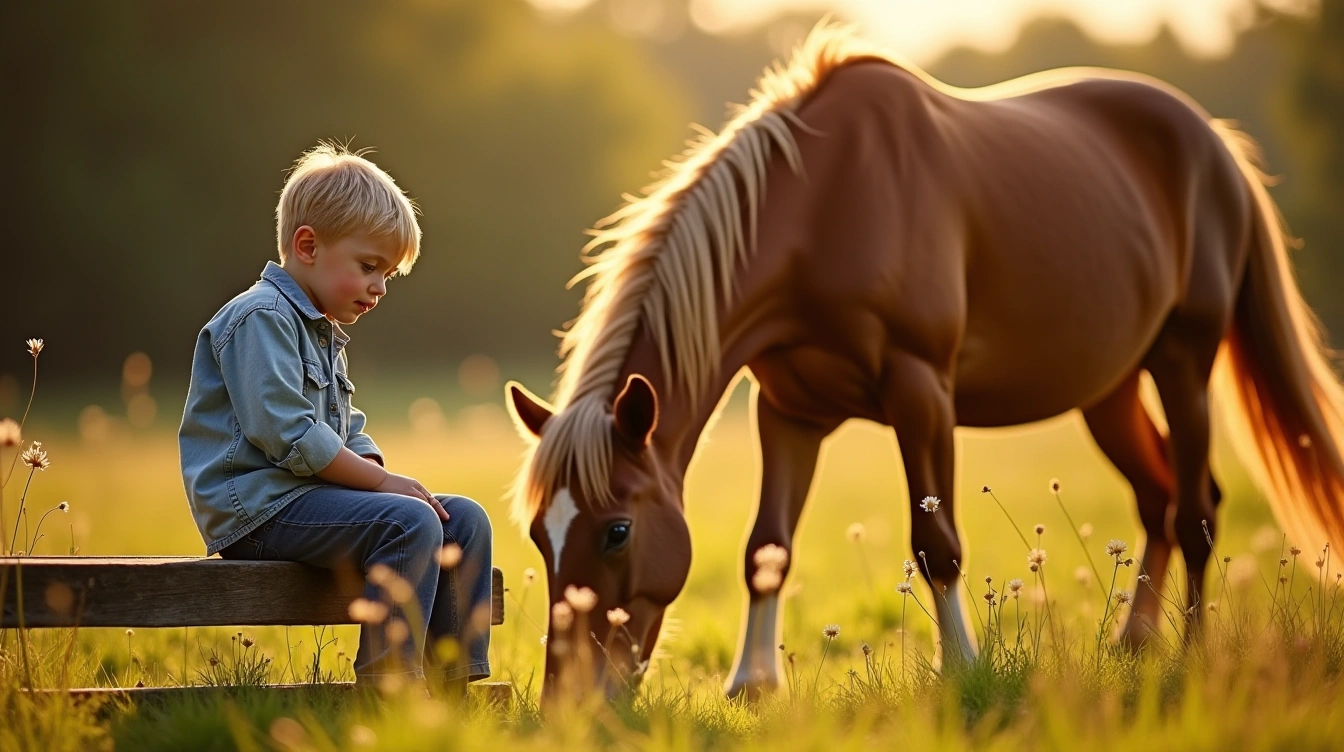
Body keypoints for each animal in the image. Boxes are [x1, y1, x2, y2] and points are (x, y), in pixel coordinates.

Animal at [504, 23, 1344, 700]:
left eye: (616, 531)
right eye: (541, 534)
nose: (570, 702)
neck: (825, 204)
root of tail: (1216, 144)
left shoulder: (921, 391)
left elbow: (936, 545)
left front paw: (961, 671)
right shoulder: (788, 411)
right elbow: (766, 549)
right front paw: (751, 684)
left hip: (1182, 361)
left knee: (1197, 510)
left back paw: (1192, 657)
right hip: (1107, 391)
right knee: (1158, 498)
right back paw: (1131, 645)